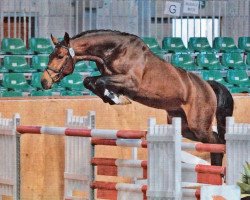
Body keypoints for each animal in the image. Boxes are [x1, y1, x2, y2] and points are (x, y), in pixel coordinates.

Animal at [41, 30, 234, 166]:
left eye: (60, 56)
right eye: (50, 56)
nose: (44, 82)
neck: (115, 51)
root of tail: (207, 85)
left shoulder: (130, 82)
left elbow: (97, 81)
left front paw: (117, 98)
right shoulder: (111, 77)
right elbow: (89, 81)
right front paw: (111, 97)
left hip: (199, 126)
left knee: (217, 143)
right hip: (185, 126)